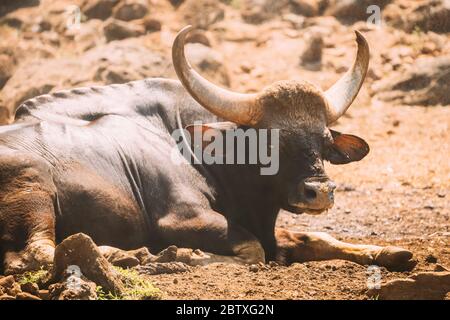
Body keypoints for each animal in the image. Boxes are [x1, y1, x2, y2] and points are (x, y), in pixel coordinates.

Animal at [0, 26, 414, 274]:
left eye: (325, 141)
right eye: (270, 141)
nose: (320, 192)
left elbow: (313, 238)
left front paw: (388, 253)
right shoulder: (184, 219)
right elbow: (253, 250)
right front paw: (185, 254)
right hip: (35, 184)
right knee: (36, 252)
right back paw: (132, 255)